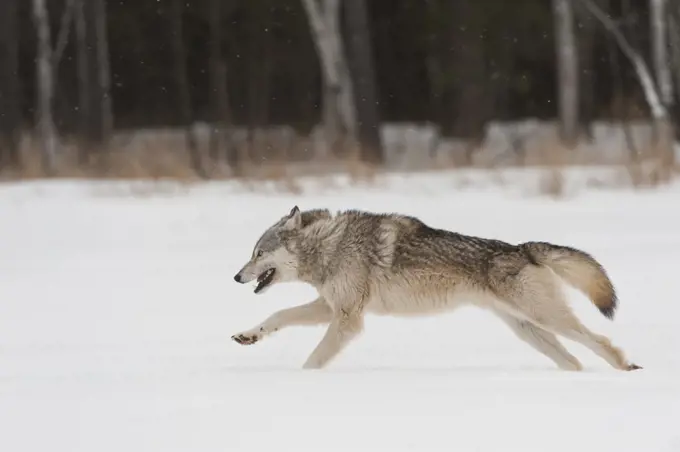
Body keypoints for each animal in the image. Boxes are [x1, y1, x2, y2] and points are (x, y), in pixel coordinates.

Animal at [231, 205, 640, 370]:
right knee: (573, 361)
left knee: (599, 341)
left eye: (258, 253)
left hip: (547, 319)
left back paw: (627, 368)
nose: (236, 277)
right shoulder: (330, 307)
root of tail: (523, 248)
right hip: (529, 330)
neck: (331, 245)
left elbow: (314, 359)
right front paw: (248, 336)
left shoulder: (347, 320)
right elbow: (278, 315)